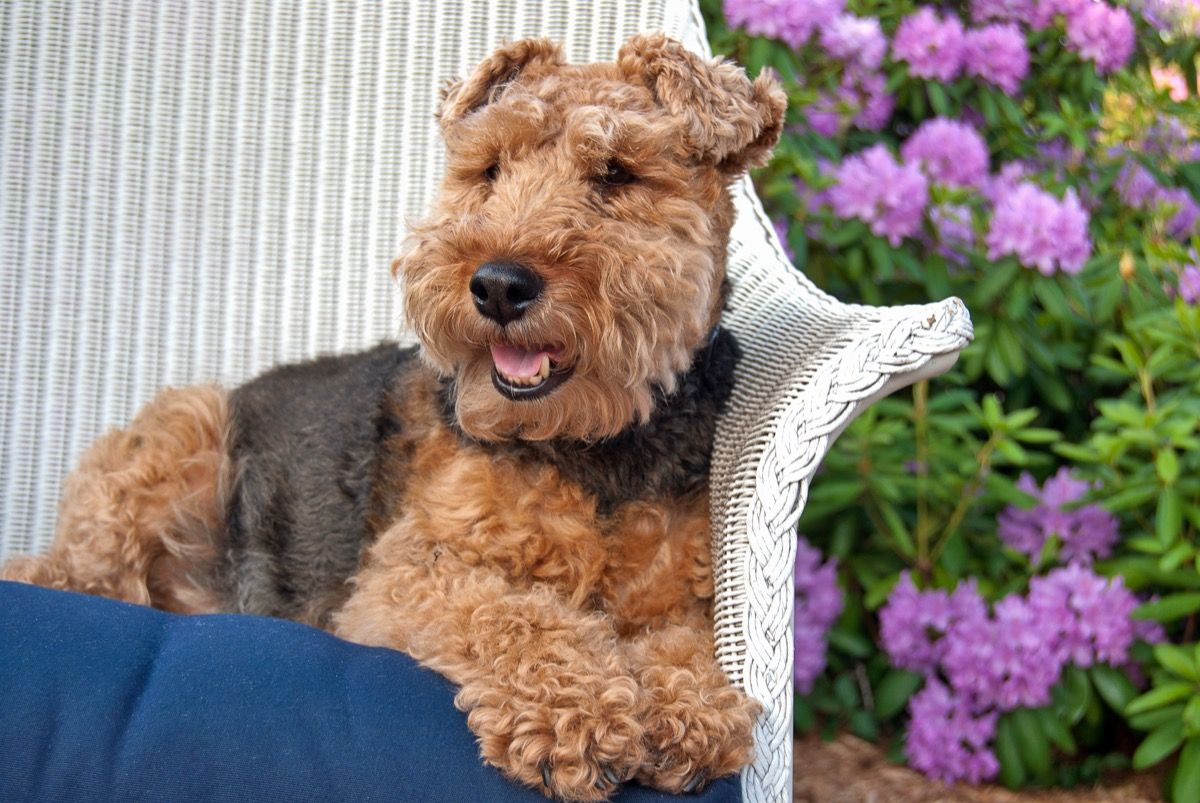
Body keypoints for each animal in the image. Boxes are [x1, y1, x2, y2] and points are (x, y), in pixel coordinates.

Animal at [4, 34, 792, 796]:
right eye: (490, 168)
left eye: (618, 173)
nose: (498, 285)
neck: (592, 448)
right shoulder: (410, 573)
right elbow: (515, 615)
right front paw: (584, 717)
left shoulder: (679, 600)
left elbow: (683, 649)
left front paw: (688, 713)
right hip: (181, 435)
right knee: (68, 573)